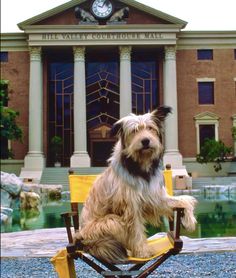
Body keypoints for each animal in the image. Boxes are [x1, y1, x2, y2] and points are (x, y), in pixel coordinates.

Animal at [74, 106, 197, 262]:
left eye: (150, 128)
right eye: (134, 130)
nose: (145, 141)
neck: (141, 166)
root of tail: (82, 241)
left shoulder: (156, 198)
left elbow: (185, 200)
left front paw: (189, 221)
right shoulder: (131, 206)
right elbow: (136, 231)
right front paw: (143, 252)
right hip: (111, 222)